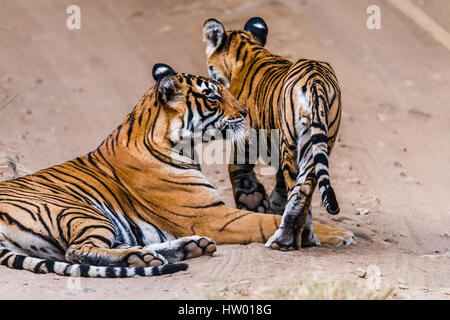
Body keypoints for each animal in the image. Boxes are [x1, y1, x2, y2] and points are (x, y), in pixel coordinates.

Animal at [0, 63, 352, 278]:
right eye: (212, 96)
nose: (244, 112)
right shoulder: (212, 216)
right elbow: (265, 220)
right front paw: (336, 234)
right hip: (78, 210)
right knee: (77, 251)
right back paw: (142, 258)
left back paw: (185, 248)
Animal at [203, 17, 356, 250]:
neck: (246, 50)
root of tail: (316, 77)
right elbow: (281, 184)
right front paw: (272, 206)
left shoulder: (244, 138)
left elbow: (237, 170)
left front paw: (253, 202)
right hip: (317, 142)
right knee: (305, 188)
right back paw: (303, 237)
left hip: (292, 144)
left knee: (298, 191)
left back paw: (286, 240)